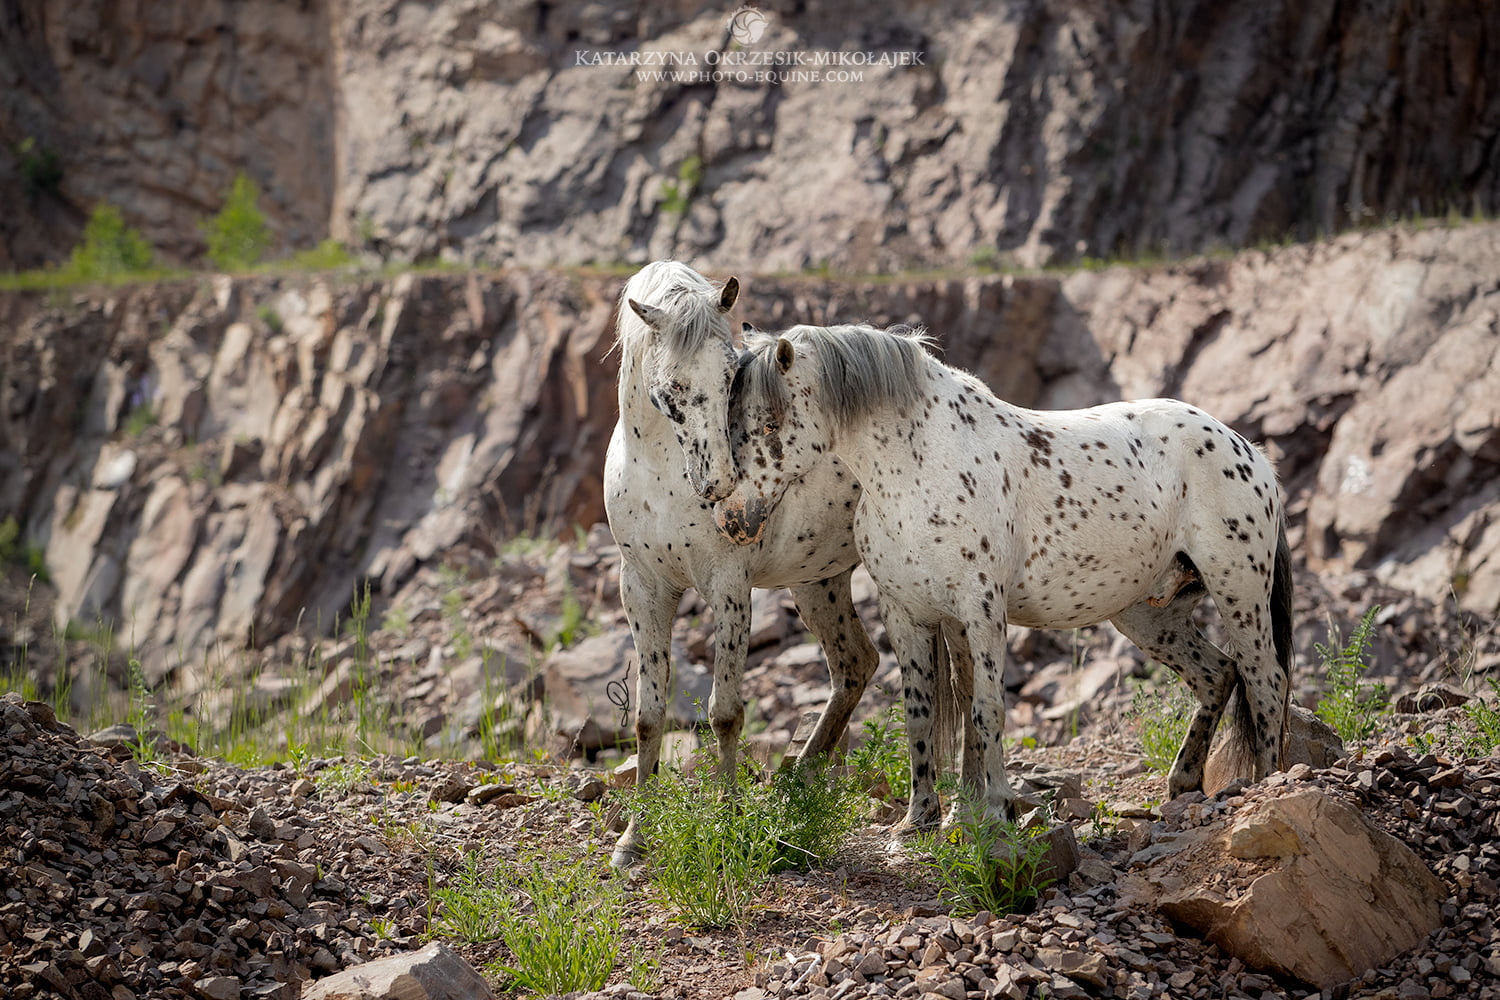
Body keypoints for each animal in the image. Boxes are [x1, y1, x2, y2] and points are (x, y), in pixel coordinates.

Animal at [603, 265, 882, 869]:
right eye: (672, 389)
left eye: (732, 374)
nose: (720, 486)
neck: (658, 475)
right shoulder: (642, 588)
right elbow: (647, 716)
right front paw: (633, 837)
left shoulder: (729, 589)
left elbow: (726, 711)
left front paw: (729, 819)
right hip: (819, 584)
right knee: (856, 664)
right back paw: (796, 782)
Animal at [711, 325, 1290, 833]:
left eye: (769, 425)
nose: (732, 518)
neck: (917, 466)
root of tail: (1248, 450)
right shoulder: (907, 614)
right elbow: (920, 714)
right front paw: (916, 819)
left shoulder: (981, 610)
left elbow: (987, 709)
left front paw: (995, 809)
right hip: (1148, 614)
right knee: (1218, 675)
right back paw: (1184, 783)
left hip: (1238, 592)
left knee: (1266, 681)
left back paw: (1269, 786)